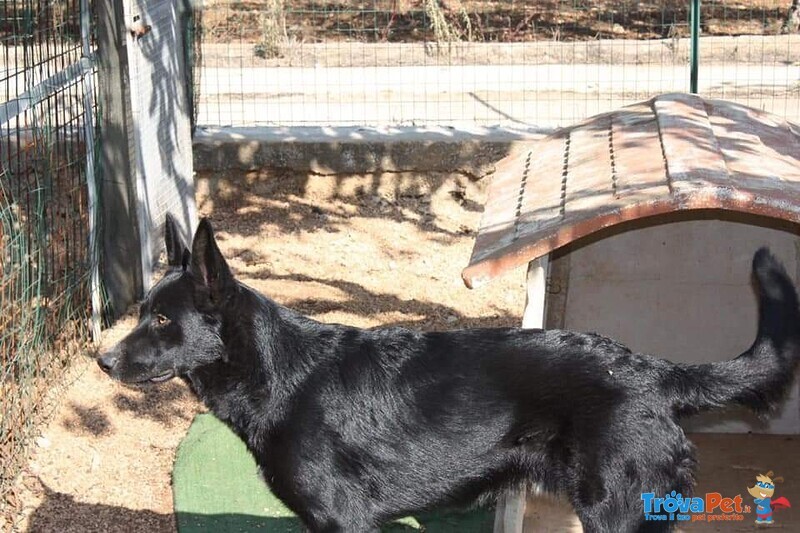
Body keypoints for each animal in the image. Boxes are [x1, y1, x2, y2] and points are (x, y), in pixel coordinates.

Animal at [100, 216, 800, 532]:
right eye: (141, 312)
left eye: (161, 320)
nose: (101, 359)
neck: (280, 375)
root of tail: (652, 371)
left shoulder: (345, 520)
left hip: (618, 513)